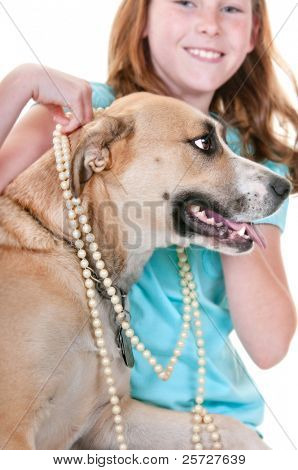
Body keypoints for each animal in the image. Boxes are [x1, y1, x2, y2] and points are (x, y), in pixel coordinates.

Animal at [0, 91, 290, 448]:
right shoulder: (13, 429)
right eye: (204, 142)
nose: (285, 186)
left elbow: (232, 428)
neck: (77, 256)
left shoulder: (109, 417)